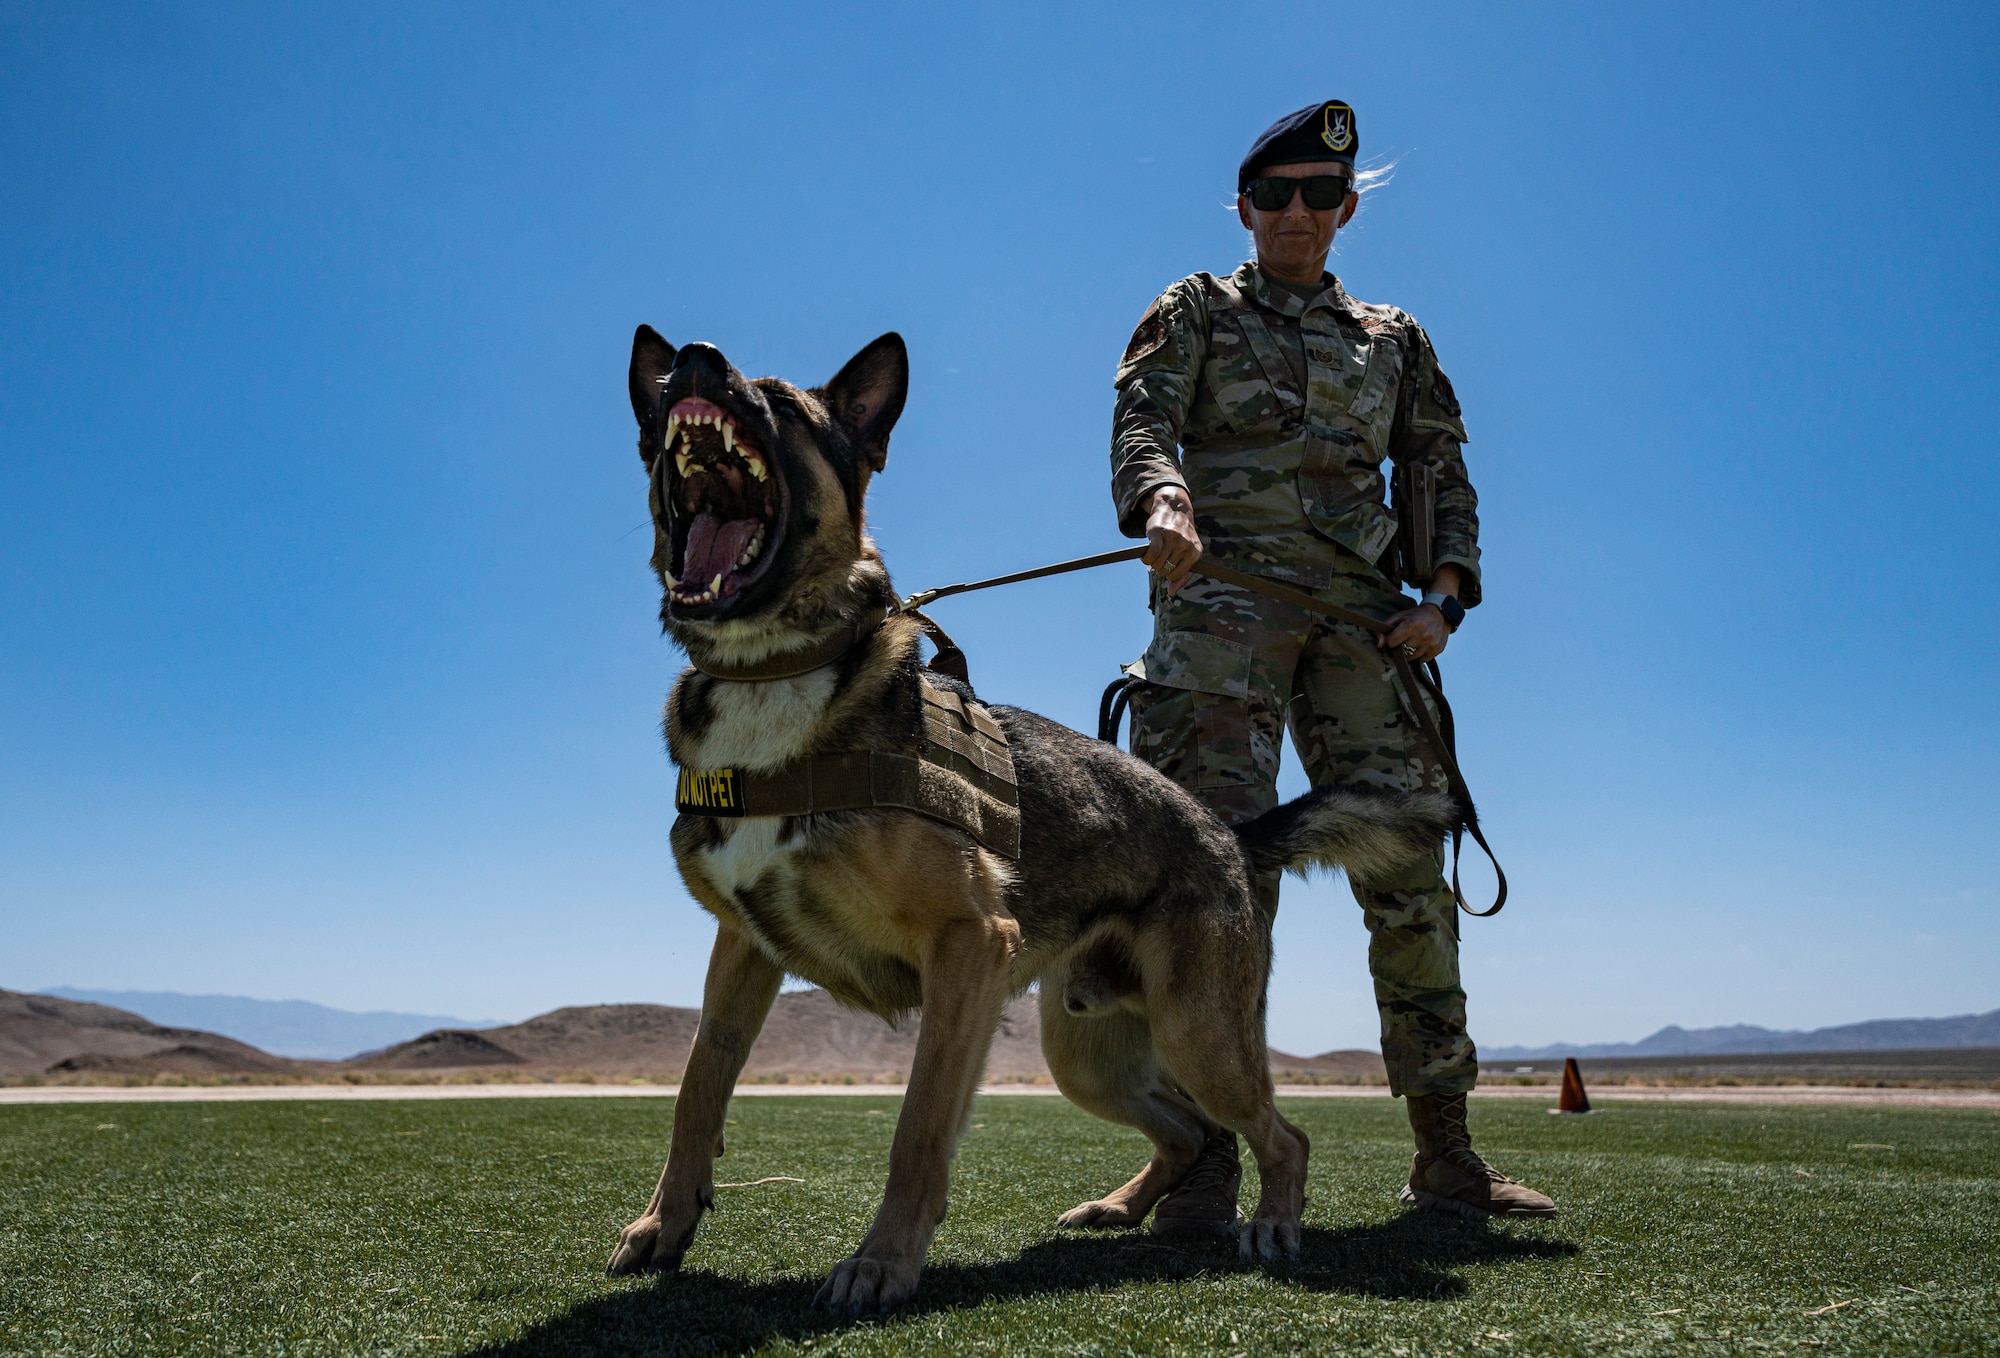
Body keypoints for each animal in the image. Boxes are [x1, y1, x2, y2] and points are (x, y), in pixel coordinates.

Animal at [604, 324, 1456, 1312]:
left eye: (781, 403)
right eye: (679, 378)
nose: (691, 360)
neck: (774, 670)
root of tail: (1230, 836)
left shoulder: (969, 948)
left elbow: (918, 1128)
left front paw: (881, 1264)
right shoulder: (742, 951)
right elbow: (697, 1087)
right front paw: (665, 1224)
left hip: (1197, 1033)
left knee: (1282, 1135)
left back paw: (1274, 1223)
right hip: (1084, 1051)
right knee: (1188, 1131)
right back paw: (1121, 1208)